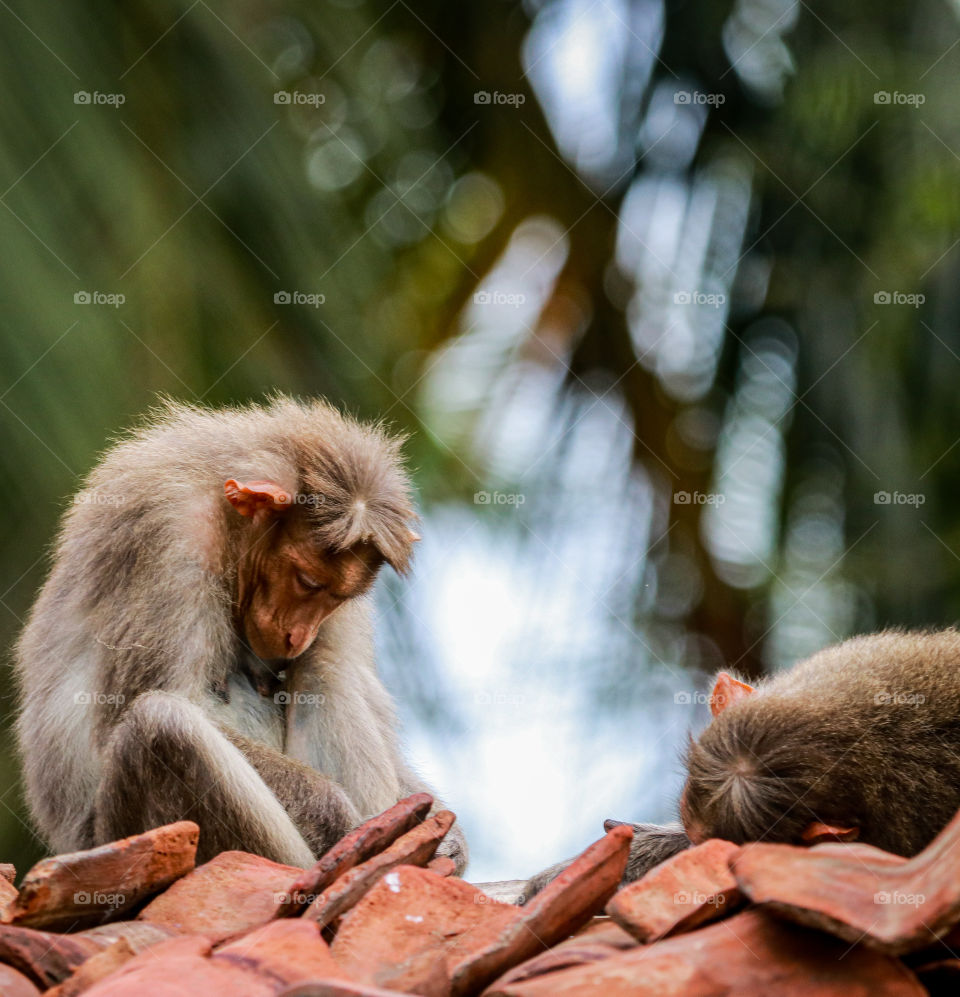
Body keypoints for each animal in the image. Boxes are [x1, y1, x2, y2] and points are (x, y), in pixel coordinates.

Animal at [14, 396, 467, 873]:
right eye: (307, 581)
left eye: (338, 596)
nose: (298, 634)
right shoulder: (169, 534)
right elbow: (154, 705)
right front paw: (338, 816)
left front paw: (449, 838)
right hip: (124, 833)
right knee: (162, 724)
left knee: (325, 664)